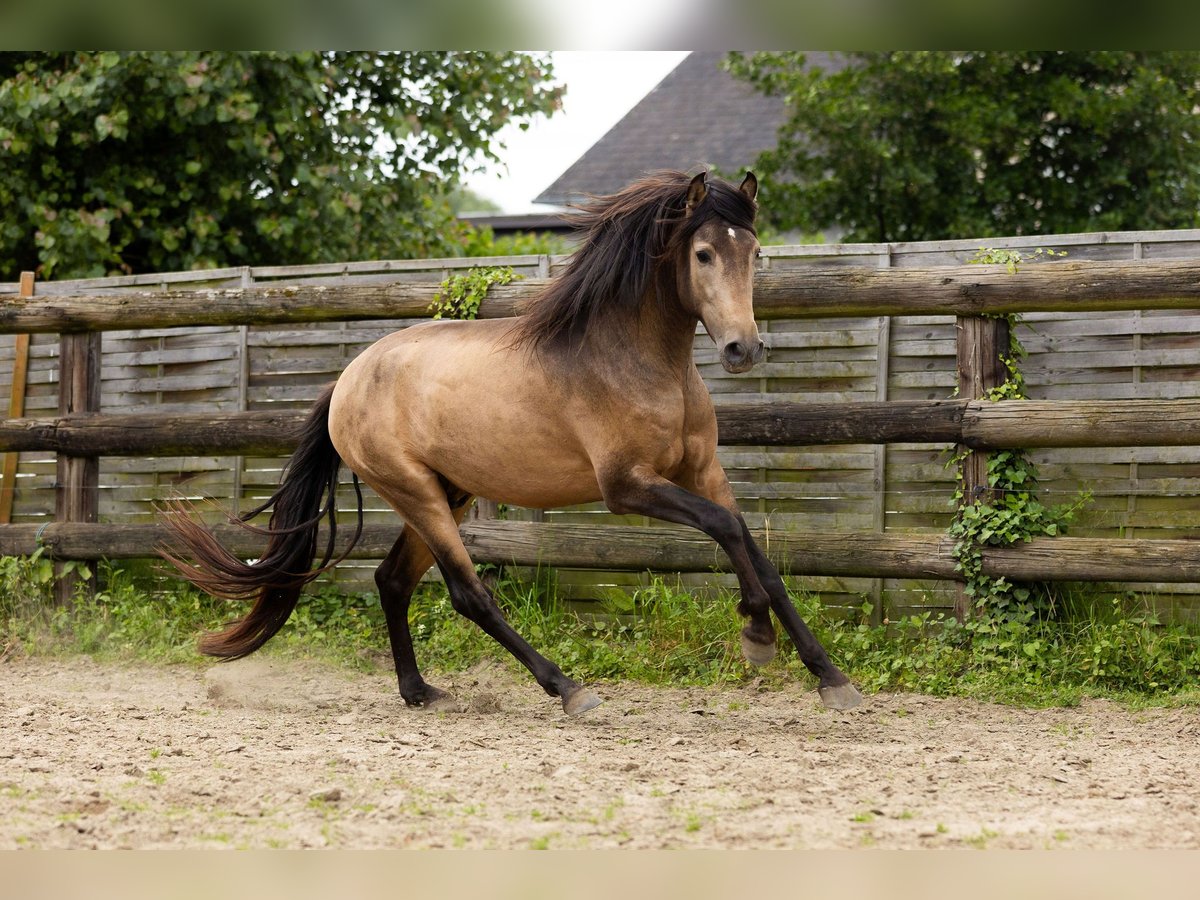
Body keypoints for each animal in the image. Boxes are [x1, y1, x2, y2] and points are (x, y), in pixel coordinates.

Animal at [164, 169, 864, 720]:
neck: (636, 361)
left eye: (754, 251)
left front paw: (828, 677)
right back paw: (570, 690)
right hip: (416, 493)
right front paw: (757, 636)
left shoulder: (704, 470)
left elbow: (754, 549)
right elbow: (724, 529)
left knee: (392, 581)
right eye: (701, 254)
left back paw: (421, 692)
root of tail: (349, 377)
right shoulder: (627, 485)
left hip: (447, 493)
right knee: (467, 594)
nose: (744, 349)